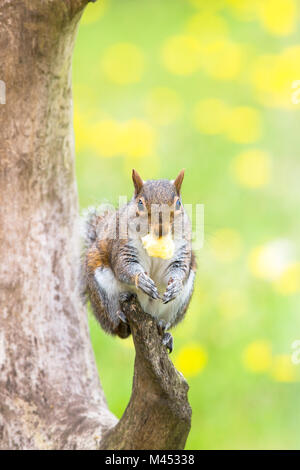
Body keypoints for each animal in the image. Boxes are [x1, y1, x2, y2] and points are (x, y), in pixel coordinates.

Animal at [81, 170, 196, 352]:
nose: (160, 229)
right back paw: (121, 319)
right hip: (103, 290)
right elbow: (124, 267)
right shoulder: (123, 246)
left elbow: (179, 270)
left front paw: (175, 285)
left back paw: (165, 333)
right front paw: (142, 280)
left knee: (163, 322)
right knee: (118, 328)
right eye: (140, 204)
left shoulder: (181, 250)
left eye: (178, 203)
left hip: (178, 303)